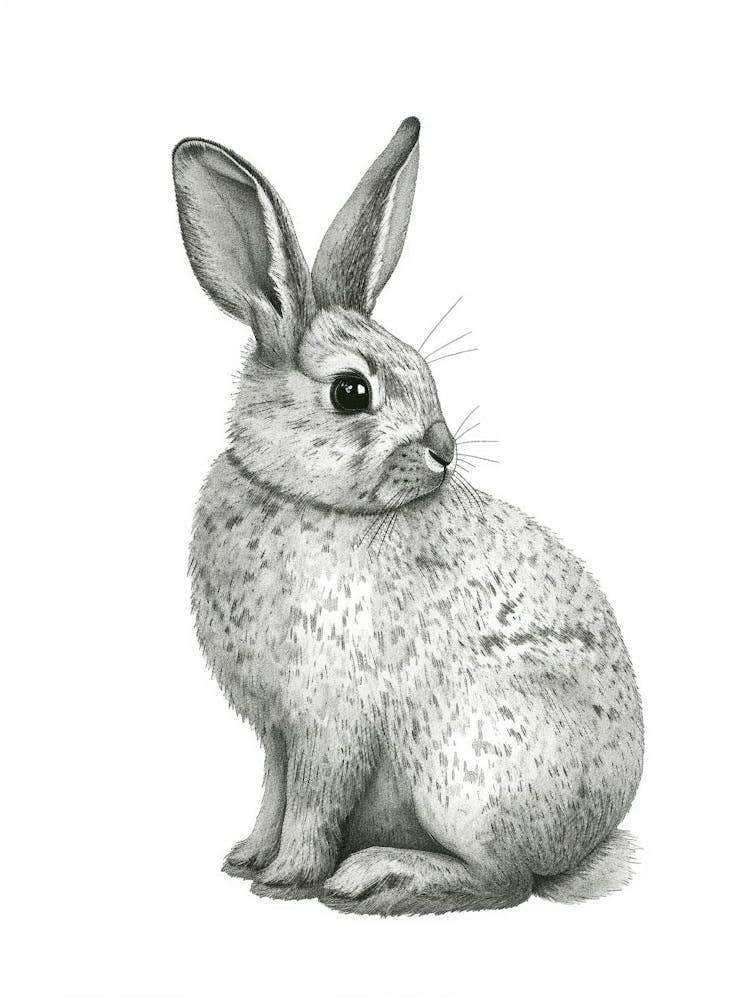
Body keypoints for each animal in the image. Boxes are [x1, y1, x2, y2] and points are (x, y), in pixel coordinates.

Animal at [173, 117, 643, 915]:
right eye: (351, 392)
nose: (444, 449)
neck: (300, 495)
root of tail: (590, 831)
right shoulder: (277, 729)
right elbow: (274, 792)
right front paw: (247, 858)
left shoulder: (332, 719)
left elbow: (313, 802)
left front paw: (286, 877)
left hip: (460, 766)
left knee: (505, 883)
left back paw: (380, 877)